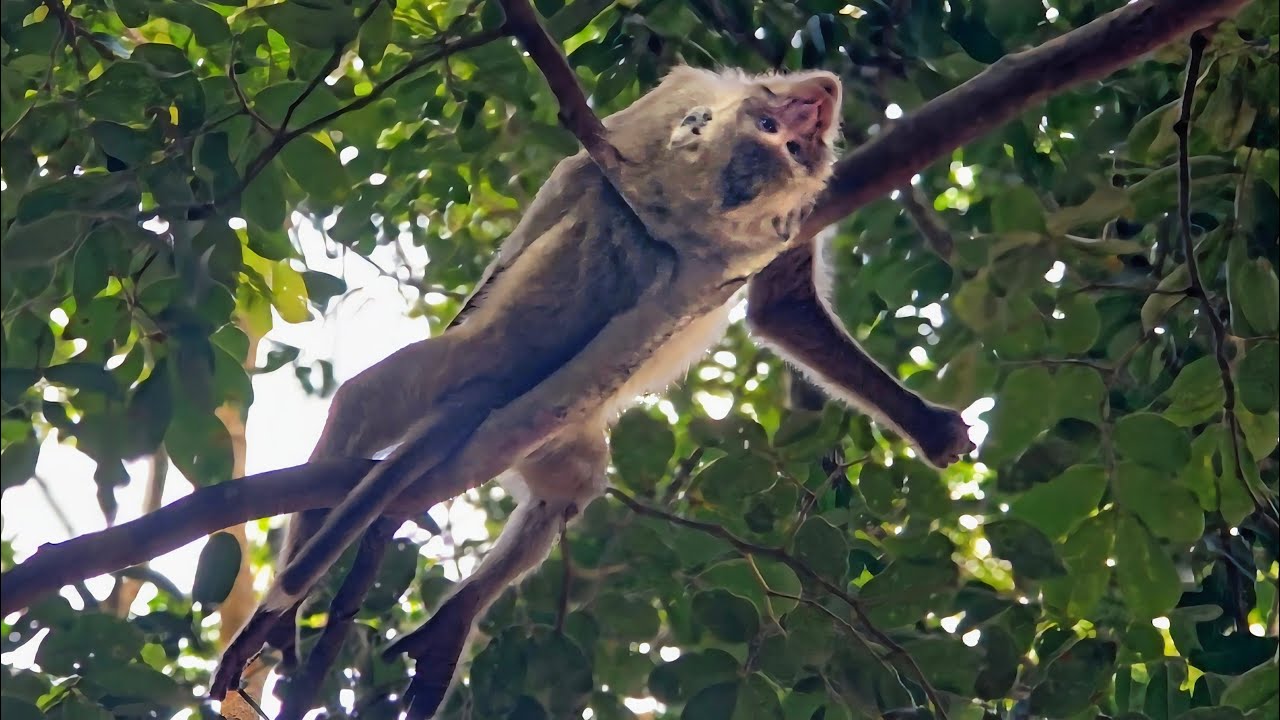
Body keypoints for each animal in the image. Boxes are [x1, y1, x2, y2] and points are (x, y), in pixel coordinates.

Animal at [211, 65, 974, 719]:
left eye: (792, 143)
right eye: (771, 123)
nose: (814, 106)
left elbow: (778, 302)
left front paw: (925, 425)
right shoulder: (675, 110)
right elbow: (588, 175)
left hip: (540, 429)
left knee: (566, 480)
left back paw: (449, 621)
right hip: (473, 360)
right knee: (371, 399)